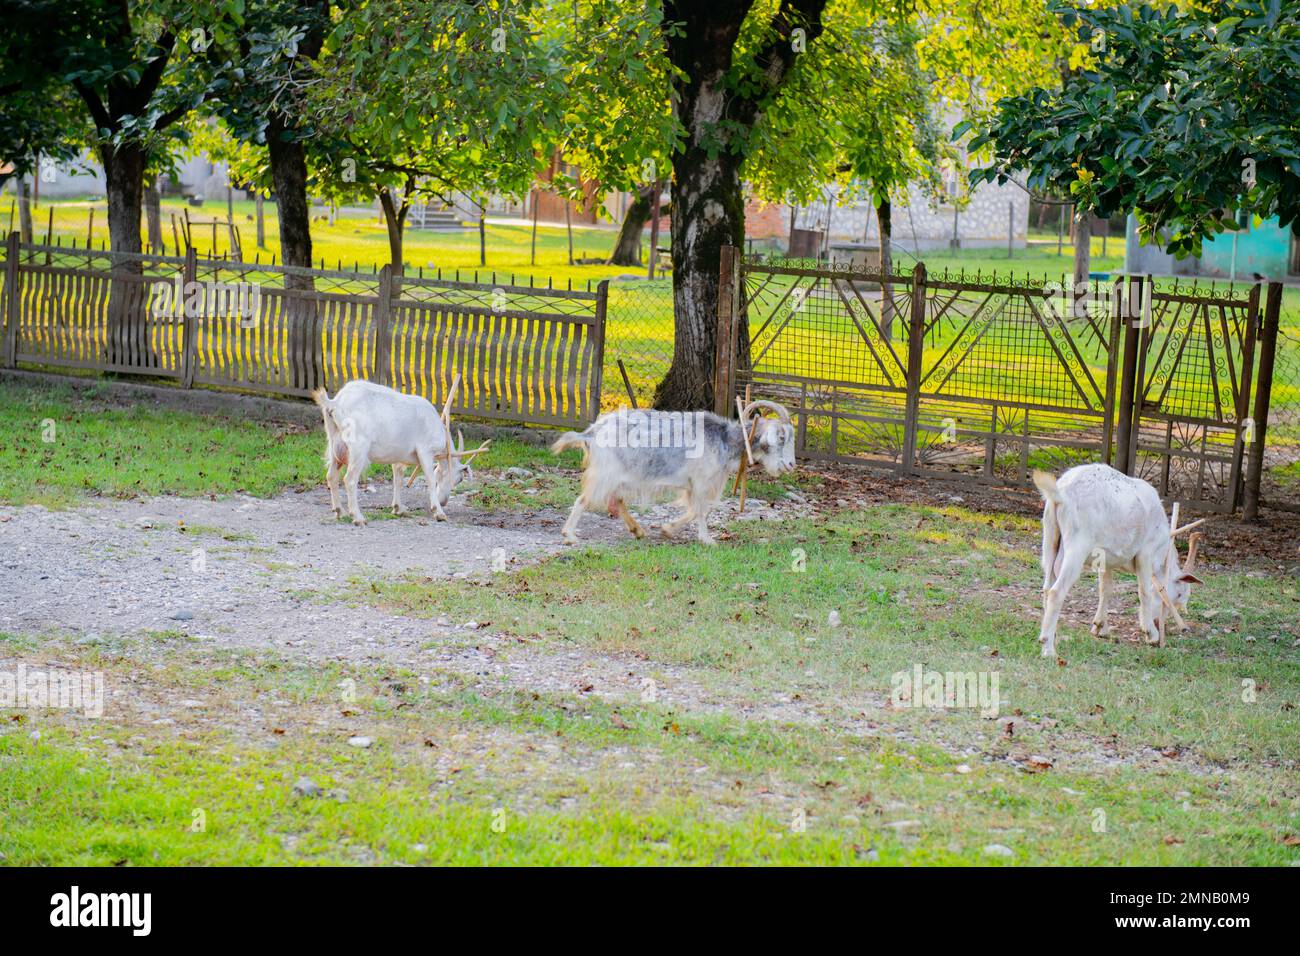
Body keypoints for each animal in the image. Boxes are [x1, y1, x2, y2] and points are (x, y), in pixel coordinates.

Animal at [311, 377, 488, 526]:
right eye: (459, 479)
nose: (444, 501)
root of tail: (335, 403)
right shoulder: (425, 451)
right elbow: (430, 479)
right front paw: (439, 512)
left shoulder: (399, 457)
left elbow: (398, 478)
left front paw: (398, 509)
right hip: (358, 448)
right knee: (349, 479)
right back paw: (358, 517)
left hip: (335, 444)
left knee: (331, 476)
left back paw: (339, 512)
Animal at [551, 400, 796, 546]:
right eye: (782, 437)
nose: (791, 465)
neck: (724, 439)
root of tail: (592, 432)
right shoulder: (701, 482)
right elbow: (700, 511)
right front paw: (707, 539)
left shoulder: (693, 485)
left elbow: (695, 510)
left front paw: (667, 529)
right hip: (606, 474)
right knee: (584, 500)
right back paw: (569, 535)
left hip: (620, 476)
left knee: (616, 501)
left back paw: (638, 530)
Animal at [1033, 463, 1204, 658]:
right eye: (1179, 595)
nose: (1159, 624)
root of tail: (1061, 494)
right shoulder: (1146, 553)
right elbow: (1144, 591)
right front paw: (1151, 634)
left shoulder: (1105, 559)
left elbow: (1105, 589)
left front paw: (1100, 627)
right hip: (1077, 545)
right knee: (1056, 591)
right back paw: (1048, 648)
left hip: (1050, 538)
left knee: (1047, 586)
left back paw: (1049, 634)